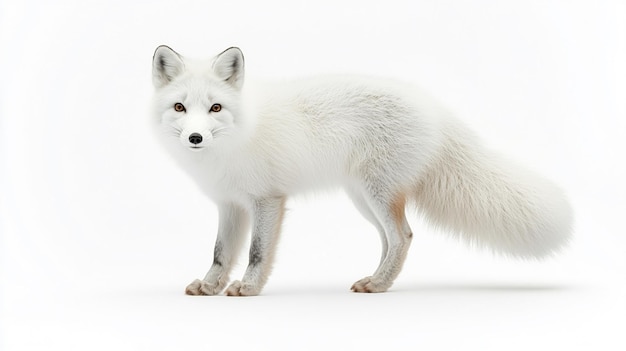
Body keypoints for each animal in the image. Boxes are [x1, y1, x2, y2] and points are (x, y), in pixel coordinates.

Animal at [150, 45, 572, 296]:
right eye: (180, 108)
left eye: (215, 108)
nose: (195, 137)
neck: (238, 136)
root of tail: (434, 109)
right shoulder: (230, 204)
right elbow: (221, 253)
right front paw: (210, 286)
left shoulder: (267, 200)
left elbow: (255, 253)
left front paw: (248, 288)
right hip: (364, 199)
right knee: (391, 240)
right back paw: (376, 279)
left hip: (378, 194)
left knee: (403, 235)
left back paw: (380, 284)